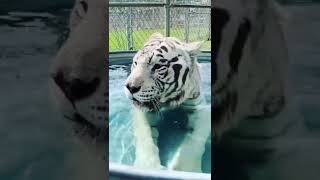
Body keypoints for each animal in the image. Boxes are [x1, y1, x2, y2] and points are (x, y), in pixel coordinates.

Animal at [125, 33, 212, 172]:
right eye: (136, 63)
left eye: (157, 66)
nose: (130, 87)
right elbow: (144, 134)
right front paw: (148, 166)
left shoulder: (201, 108)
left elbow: (195, 138)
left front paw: (184, 169)